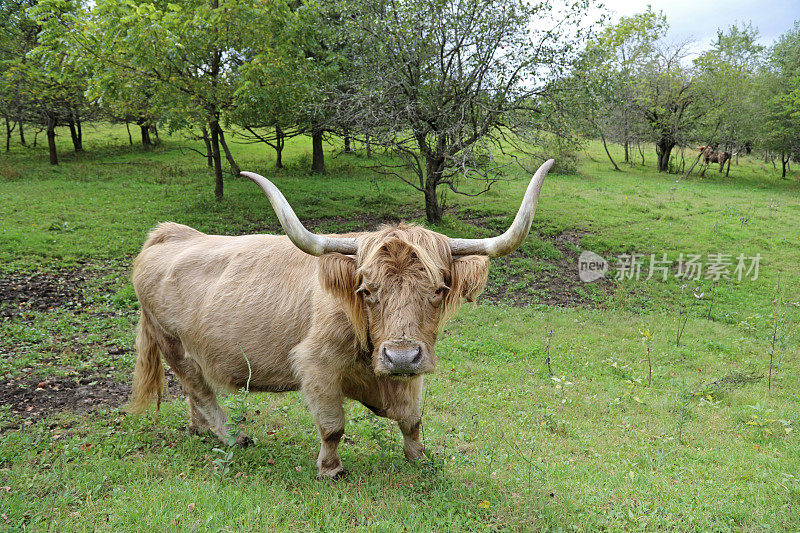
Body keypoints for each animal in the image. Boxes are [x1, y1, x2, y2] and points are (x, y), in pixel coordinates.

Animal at [131, 160, 552, 476]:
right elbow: (333, 427)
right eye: (366, 290)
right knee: (200, 389)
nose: (400, 356)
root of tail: (167, 234)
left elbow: (412, 419)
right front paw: (331, 469)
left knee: (195, 391)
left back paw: (200, 430)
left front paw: (420, 458)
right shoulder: (315, 366)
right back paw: (233, 437)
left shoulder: (411, 371)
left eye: (438, 289)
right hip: (171, 342)